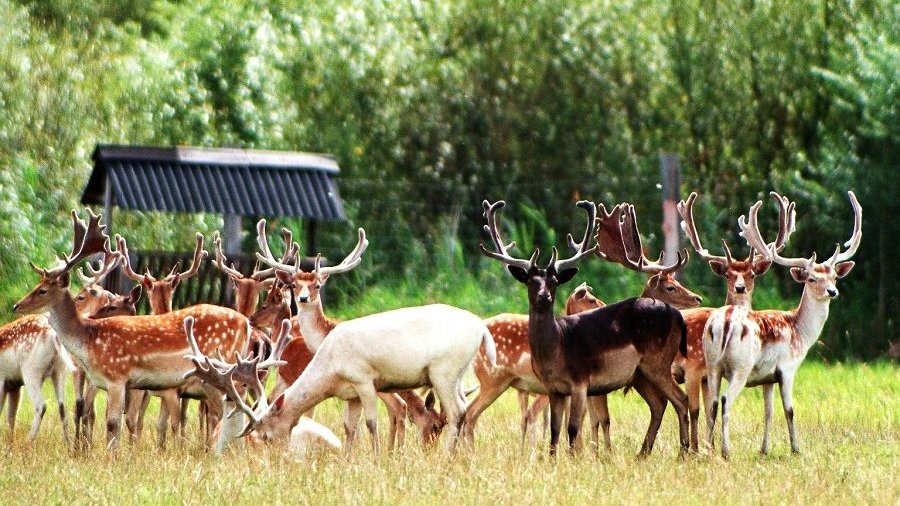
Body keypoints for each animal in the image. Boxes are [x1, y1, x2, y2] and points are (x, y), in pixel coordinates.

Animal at [13, 210, 253, 450]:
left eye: (42, 290)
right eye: (36, 285)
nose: (16, 305)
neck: (89, 341)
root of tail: (245, 323)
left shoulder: (117, 378)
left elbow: (113, 424)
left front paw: (114, 456)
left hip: (216, 368)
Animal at [676, 191, 796, 450]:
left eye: (751, 274)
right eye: (728, 274)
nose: (740, 287)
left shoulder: (706, 375)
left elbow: (709, 410)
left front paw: (707, 446)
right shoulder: (694, 369)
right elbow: (700, 410)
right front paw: (701, 448)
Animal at [708, 190, 860, 458]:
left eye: (834, 277)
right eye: (811, 278)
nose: (832, 291)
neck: (799, 331)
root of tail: (725, 323)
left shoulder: (767, 377)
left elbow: (768, 412)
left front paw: (764, 449)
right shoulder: (788, 368)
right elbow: (789, 410)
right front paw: (796, 448)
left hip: (712, 365)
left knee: (711, 403)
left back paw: (702, 448)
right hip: (741, 366)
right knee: (725, 400)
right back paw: (726, 451)